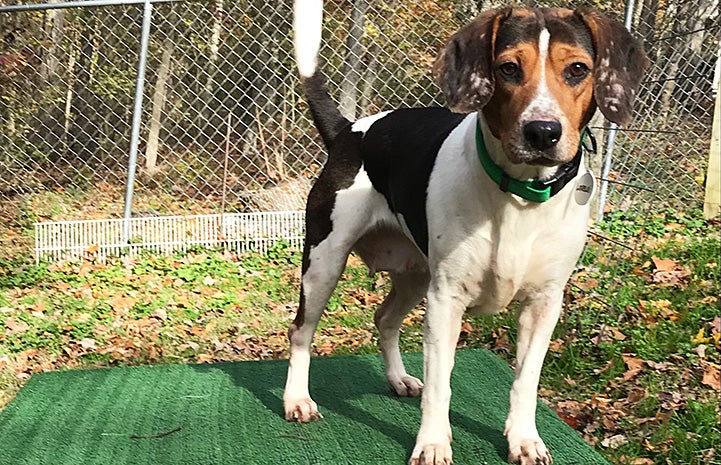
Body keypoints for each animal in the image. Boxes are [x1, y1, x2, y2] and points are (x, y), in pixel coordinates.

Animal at [282, 3, 648, 464]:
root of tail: (350, 130)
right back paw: (297, 399)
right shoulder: (446, 301)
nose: (543, 132)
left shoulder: (544, 305)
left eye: (578, 69)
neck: (521, 198)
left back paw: (398, 378)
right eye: (508, 68)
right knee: (301, 331)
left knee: (385, 319)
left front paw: (524, 438)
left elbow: (525, 382)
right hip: (324, 264)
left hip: (414, 275)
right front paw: (433, 443)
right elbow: (441, 385)